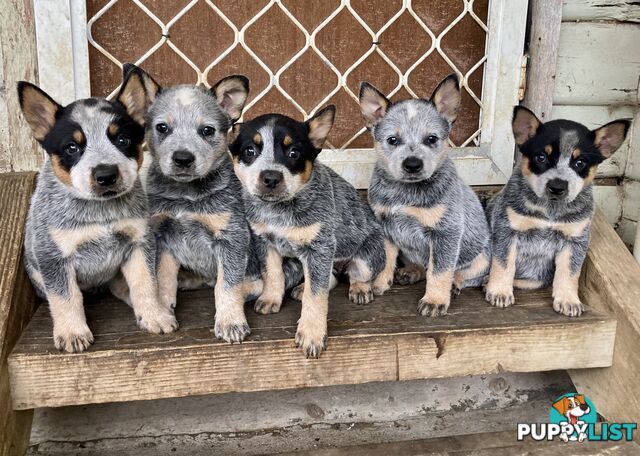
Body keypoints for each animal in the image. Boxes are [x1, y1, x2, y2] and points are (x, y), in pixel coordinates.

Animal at [17, 67, 178, 352]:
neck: (101, 214)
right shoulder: (54, 256)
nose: (106, 175)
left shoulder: (139, 242)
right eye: (72, 147)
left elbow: (146, 283)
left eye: (123, 139)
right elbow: (65, 297)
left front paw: (154, 314)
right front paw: (72, 332)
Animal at [228, 108, 392, 360]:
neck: (278, 211)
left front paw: (312, 334)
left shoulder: (320, 248)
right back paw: (302, 287)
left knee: (358, 274)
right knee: (330, 277)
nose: (271, 177)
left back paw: (359, 288)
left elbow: (316, 297)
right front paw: (270, 298)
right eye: (250, 151)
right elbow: (273, 274)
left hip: (365, 254)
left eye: (294, 153)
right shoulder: (265, 242)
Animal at [360, 74, 490, 318]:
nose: (412, 164)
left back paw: (454, 285)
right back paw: (410, 272)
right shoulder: (384, 225)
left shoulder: (445, 232)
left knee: (466, 275)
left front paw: (435, 301)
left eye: (431, 139)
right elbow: (386, 259)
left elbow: (440, 271)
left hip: (482, 257)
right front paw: (379, 284)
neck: (404, 193)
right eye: (392, 140)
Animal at [484, 106, 632, 318]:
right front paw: (499, 291)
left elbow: (569, 273)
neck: (550, 212)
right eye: (541, 157)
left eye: (580, 162)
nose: (557, 187)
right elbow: (504, 264)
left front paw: (569, 300)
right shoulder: (507, 229)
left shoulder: (575, 239)